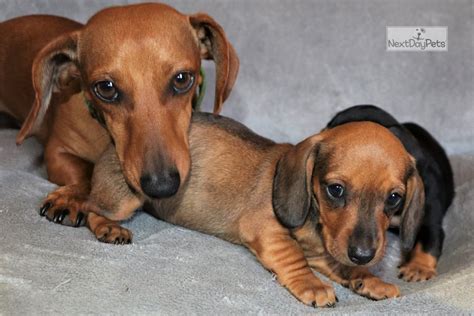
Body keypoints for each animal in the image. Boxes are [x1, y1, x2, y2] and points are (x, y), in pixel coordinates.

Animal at [83, 113, 424, 306]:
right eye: (336, 189)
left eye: (394, 198)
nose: (364, 255)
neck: (316, 222)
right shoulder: (266, 230)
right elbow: (294, 256)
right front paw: (312, 284)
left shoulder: (325, 251)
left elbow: (338, 262)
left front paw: (367, 278)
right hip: (123, 199)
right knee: (90, 207)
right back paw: (108, 227)